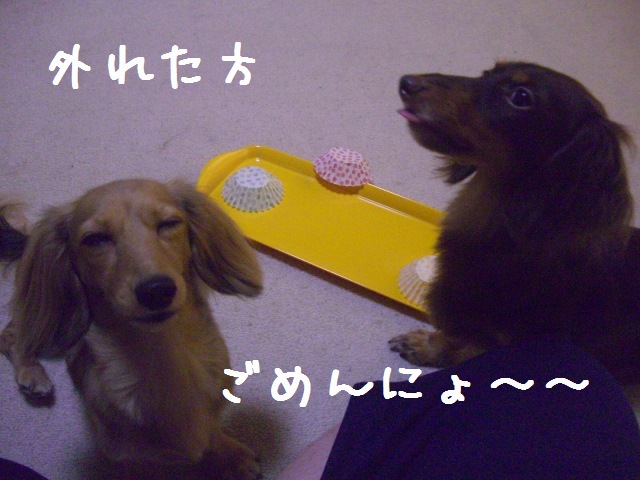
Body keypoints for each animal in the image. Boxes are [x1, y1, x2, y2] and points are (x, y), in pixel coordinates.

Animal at [0, 179, 263, 479]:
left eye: (169, 223)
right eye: (95, 239)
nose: (156, 290)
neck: (163, 357)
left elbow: (211, 434)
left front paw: (231, 456)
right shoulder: (129, 457)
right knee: (12, 334)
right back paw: (31, 373)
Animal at [390, 61, 640, 385]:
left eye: (521, 96)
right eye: (485, 74)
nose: (406, 83)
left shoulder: (500, 344)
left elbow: (459, 348)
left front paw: (430, 350)